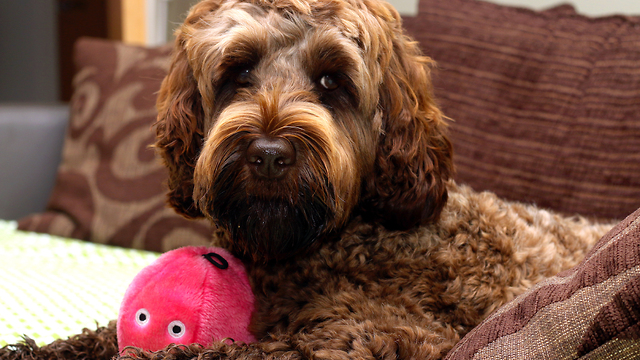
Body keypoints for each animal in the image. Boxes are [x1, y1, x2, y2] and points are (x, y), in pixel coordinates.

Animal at [0, 0, 616, 360]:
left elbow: (220, 352)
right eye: (239, 71)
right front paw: (40, 350)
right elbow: (103, 334)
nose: (269, 156)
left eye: (332, 81)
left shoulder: (377, 335)